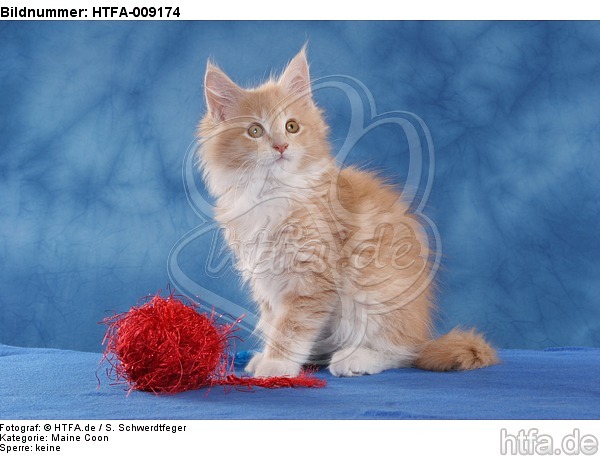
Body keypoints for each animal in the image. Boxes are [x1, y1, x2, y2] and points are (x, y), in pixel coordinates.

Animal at [197, 49, 496, 378]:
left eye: (291, 126)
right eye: (255, 131)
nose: (281, 146)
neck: (271, 192)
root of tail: (422, 332)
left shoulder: (312, 277)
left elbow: (291, 326)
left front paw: (277, 364)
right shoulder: (265, 277)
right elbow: (274, 320)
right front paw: (268, 356)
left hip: (374, 292)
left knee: (401, 351)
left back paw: (355, 358)